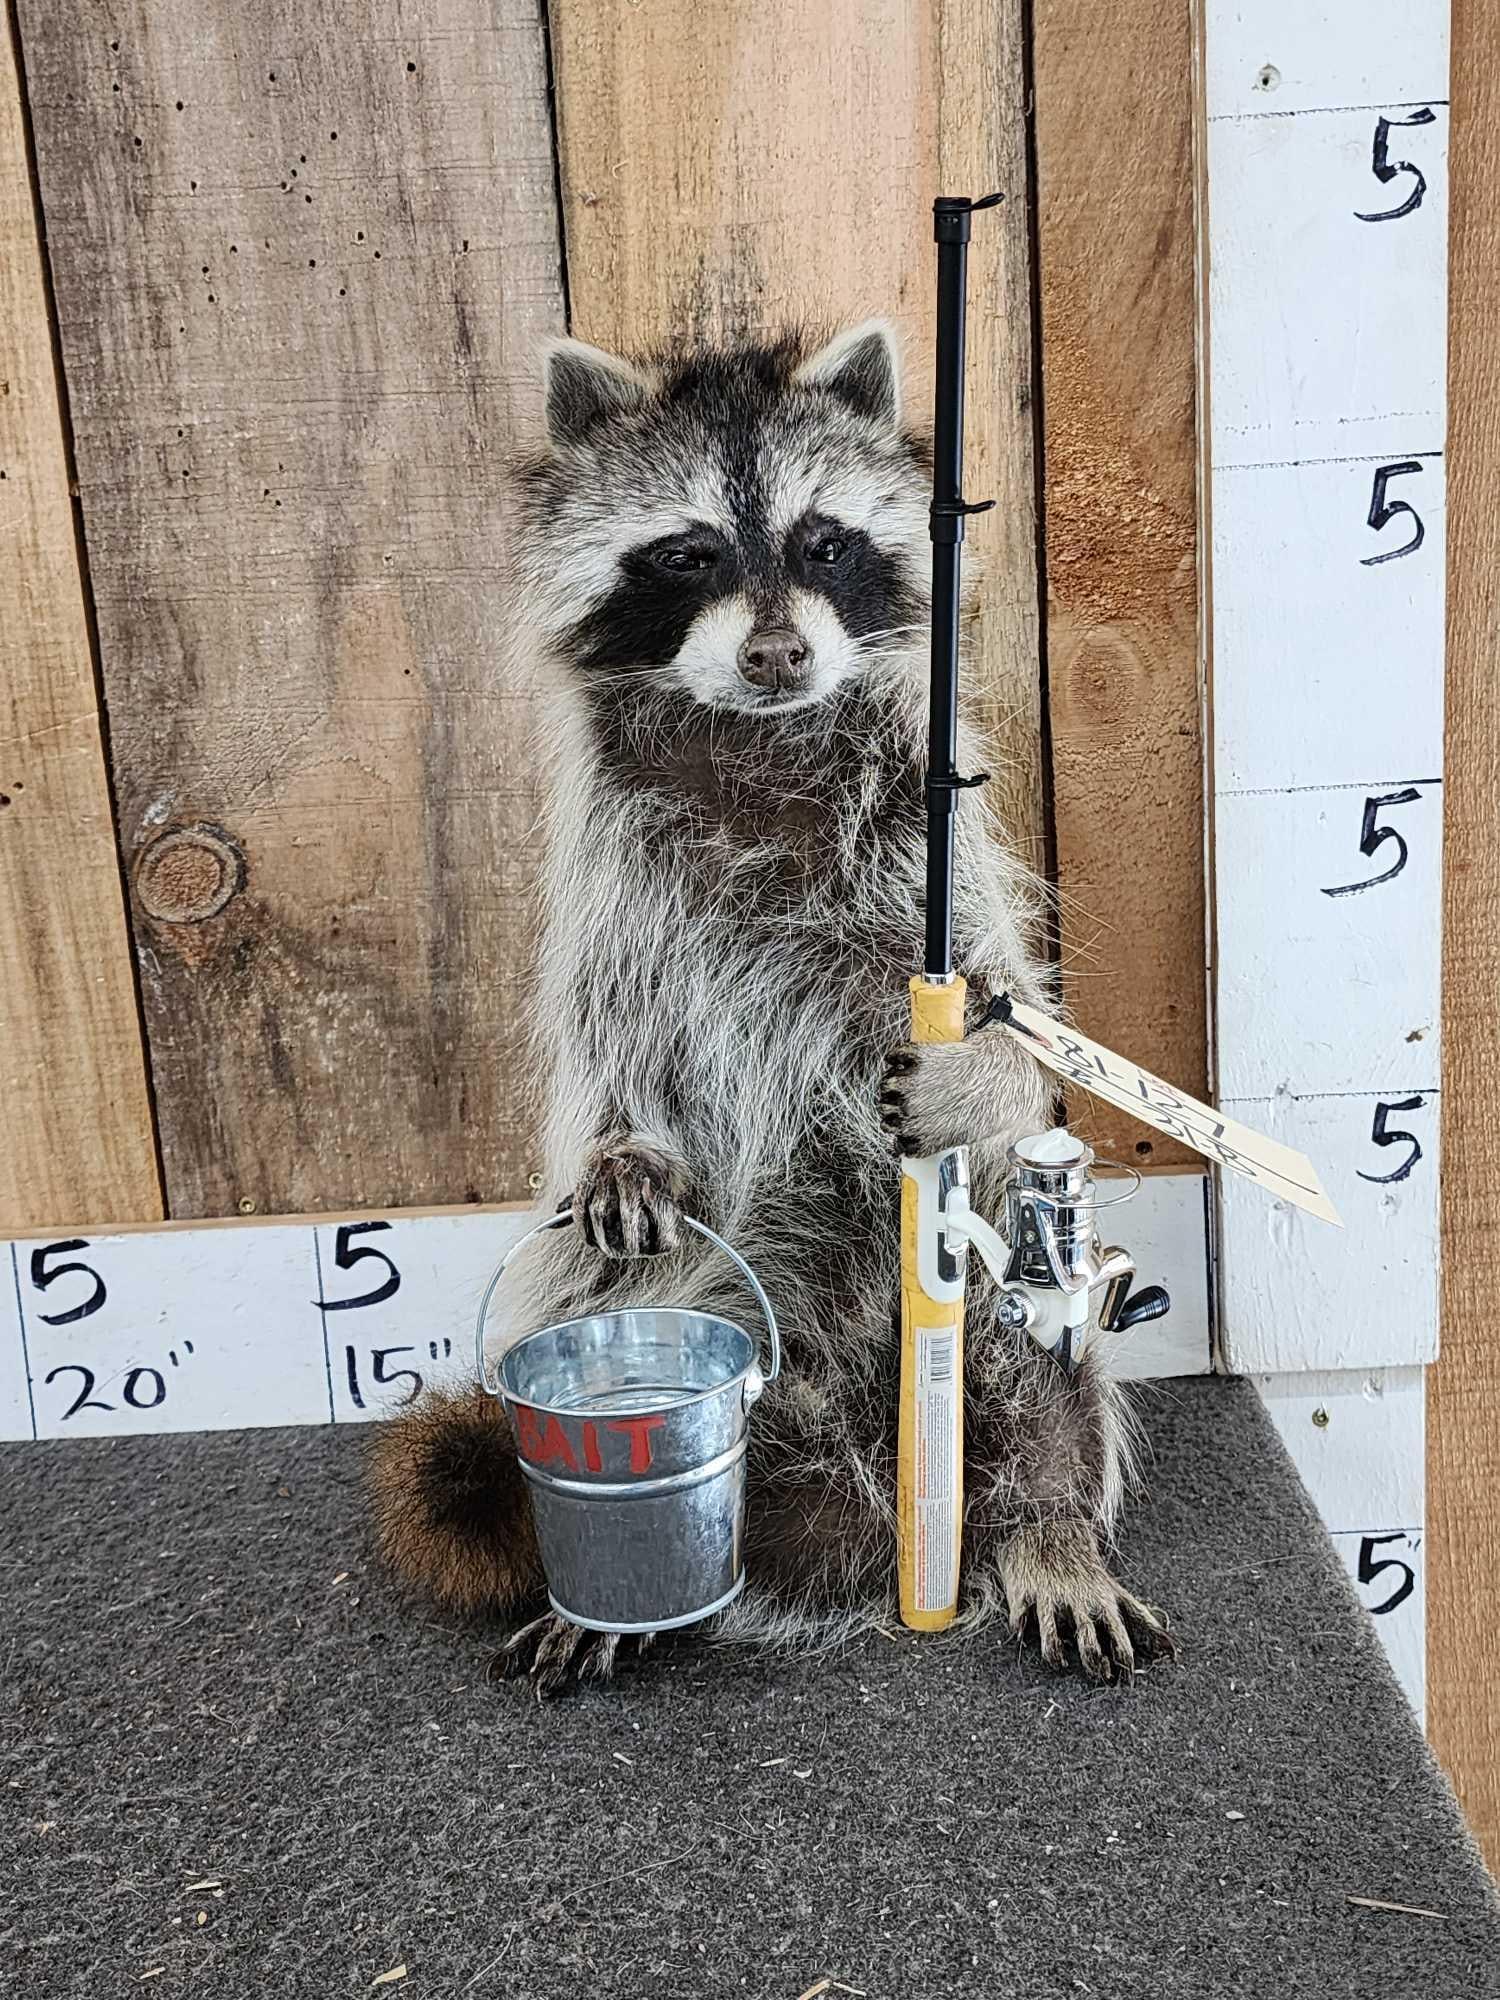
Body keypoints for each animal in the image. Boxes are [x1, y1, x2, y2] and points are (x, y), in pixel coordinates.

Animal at [368, 321, 1176, 1693]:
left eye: (824, 542)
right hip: (711, 1314)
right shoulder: (614, 883)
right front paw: (621, 1139)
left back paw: (1048, 1520)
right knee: (606, 1273)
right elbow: (605, 1046)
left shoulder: (930, 852)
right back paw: (638, 1595)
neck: (761, 742)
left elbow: (1022, 1026)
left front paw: (986, 1067)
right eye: (687, 551)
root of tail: (860, 1493)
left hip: (996, 1310)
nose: (779, 654)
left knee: (1035, 1354)